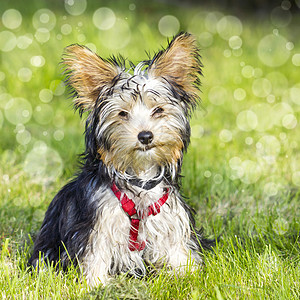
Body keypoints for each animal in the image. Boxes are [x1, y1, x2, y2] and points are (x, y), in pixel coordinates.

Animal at [27, 31, 211, 284]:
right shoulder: (96, 224)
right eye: (123, 114)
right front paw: (95, 285)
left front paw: (188, 276)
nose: (145, 136)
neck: (140, 176)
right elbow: (95, 254)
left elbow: (177, 250)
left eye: (158, 110)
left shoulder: (169, 220)